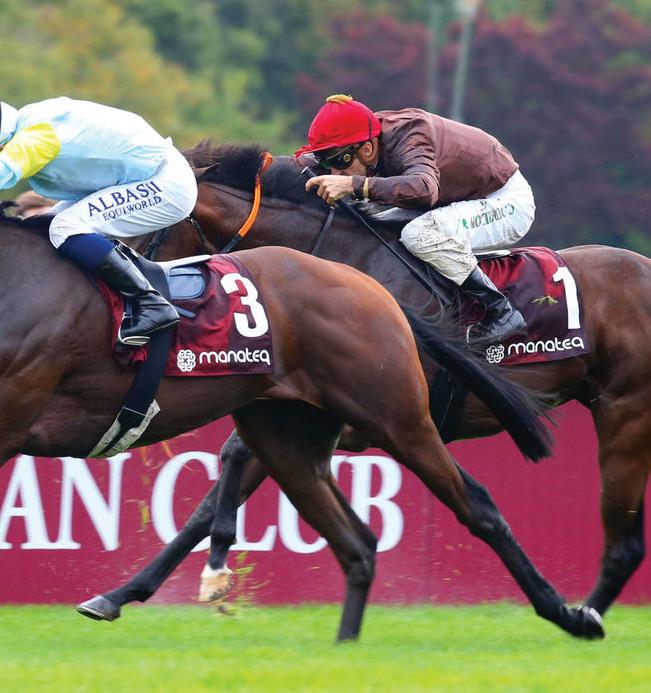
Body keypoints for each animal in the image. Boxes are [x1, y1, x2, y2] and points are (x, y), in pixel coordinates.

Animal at [0, 213, 607, 641]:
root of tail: (374, 291)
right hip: (288, 435)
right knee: (358, 542)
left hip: (398, 419)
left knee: (478, 505)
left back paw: (572, 614)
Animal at [79, 142, 651, 630]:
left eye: (145, 228)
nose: (126, 283)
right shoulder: (308, 407)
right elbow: (209, 499)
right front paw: (118, 595)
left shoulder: (362, 414)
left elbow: (232, 465)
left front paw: (212, 566)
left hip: (625, 415)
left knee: (622, 542)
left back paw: (585, 615)